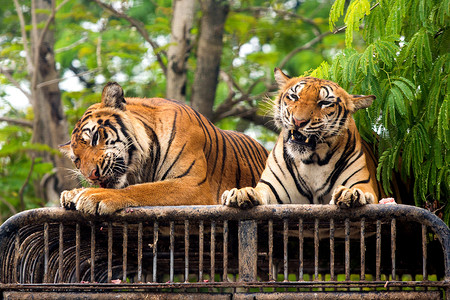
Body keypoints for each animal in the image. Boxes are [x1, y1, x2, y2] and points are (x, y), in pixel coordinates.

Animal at [61, 81, 268, 214]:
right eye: (77, 160)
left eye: (95, 137)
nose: (92, 176)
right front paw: (72, 194)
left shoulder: (193, 184)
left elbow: (142, 190)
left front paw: (93, 195)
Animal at [221, 68, 380, 209]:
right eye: (294, 97)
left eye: (324, 103)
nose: (298, 121)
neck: (313, 161)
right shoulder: (271, 189)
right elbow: (258, 191)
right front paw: (241, 193)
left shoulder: (362, 182)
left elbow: (358, 189)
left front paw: (350, 193)